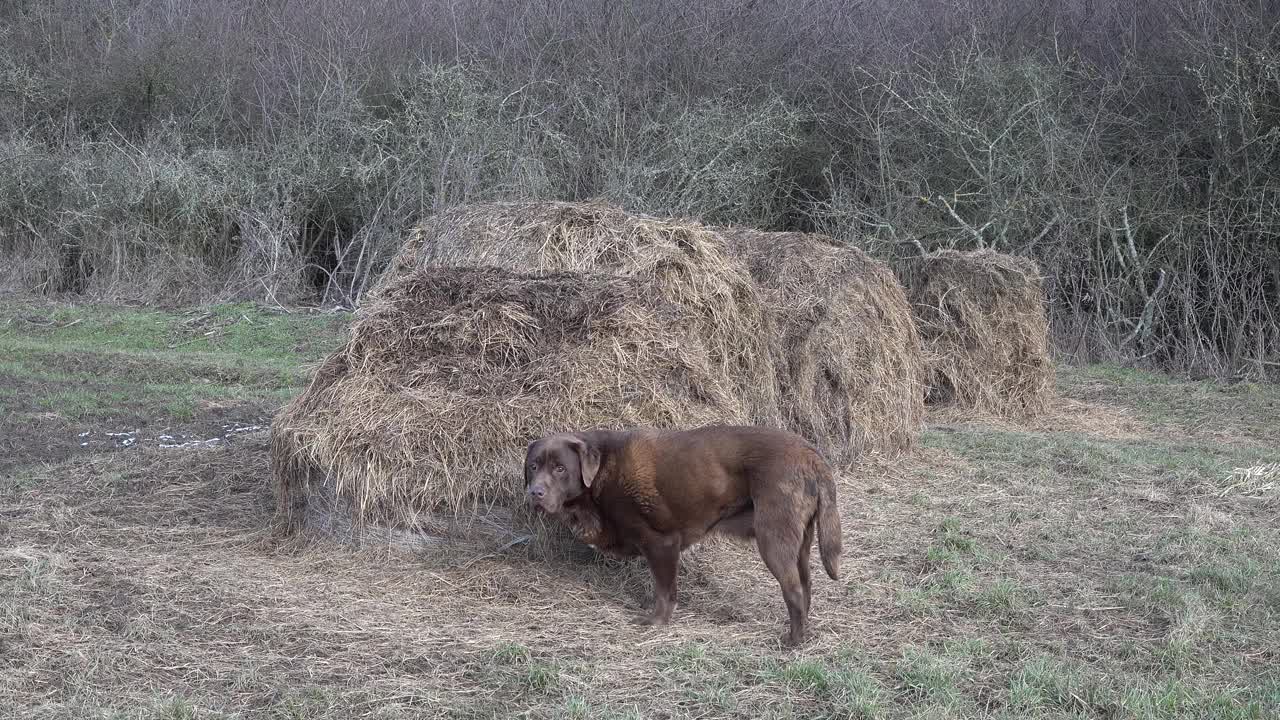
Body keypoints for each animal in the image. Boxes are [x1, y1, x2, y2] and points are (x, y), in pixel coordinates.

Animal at [522, 422, 839, 640]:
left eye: (560, 468)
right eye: (533, 466)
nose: (535, 492)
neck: (601, 475)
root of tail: (811, 454)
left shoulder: (661, 543)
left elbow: (664, 590)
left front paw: (657, 622)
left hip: (773, 537)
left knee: (793, 589)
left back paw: (794, 641)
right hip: (800, 541)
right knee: (806, 584)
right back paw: (805, 629)